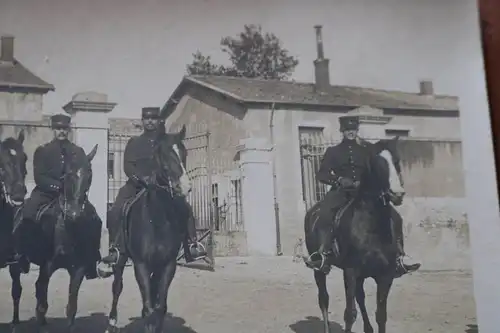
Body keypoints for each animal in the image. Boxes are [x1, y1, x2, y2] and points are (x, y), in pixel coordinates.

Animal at [13, 143, 99, 332]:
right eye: (66, 174)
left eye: (89, 174)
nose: (74, 213)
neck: (69, 229)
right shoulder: (47, 266)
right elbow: (42, 301)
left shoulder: (78, 268)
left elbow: (71, 306)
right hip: (15, 264)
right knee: (18, 291)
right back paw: (16, 323)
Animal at [105, 124, 191, 332]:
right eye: (165, 154)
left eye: (184, 153)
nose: (185, 187)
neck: (157, 219)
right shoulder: (141, 264)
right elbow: (148, 309)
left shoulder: (167, 264)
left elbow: (159, 307)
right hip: (120, 258)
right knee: (117, 286)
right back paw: (111, 322)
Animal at [304, 136, 406, 332]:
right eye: (377, 163)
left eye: (397, 161)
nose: (397, 194)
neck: (372, 227)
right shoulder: (350, 272)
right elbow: (349, 314)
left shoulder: (385, 275)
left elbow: (381, 315)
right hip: (320, 268)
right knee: (324, 300)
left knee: (360, 298)